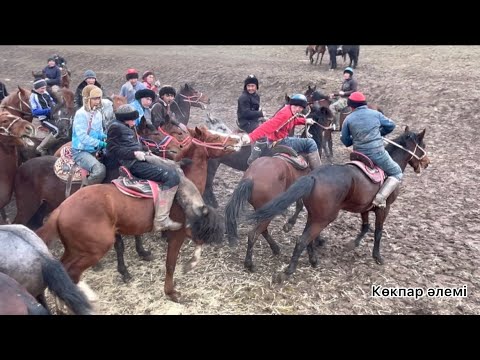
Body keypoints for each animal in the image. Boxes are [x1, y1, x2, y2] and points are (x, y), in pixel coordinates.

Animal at [36, 126, 244, 300]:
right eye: (215, 137)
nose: (238, 140)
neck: (185, 184)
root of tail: (61, 209)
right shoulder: (177, 233)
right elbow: (170, 263)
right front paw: (171, 291)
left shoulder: (190, 228)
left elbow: (199, 241)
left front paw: (190, 264)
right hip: (93, 249)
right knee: (71, 274)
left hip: (75, 249)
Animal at [249, 128, 430, 282]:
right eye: (423, 146)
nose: (427, 162)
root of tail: (313, 177)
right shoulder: (383, 209)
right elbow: (378, 232)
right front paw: (377, 256)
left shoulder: (364, 207)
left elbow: (365, 226)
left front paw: (353, 244)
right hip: (323, 218)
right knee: (302, 240)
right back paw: (288, 271)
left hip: (315, 216)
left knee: (307, 238)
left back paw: (313, 260)